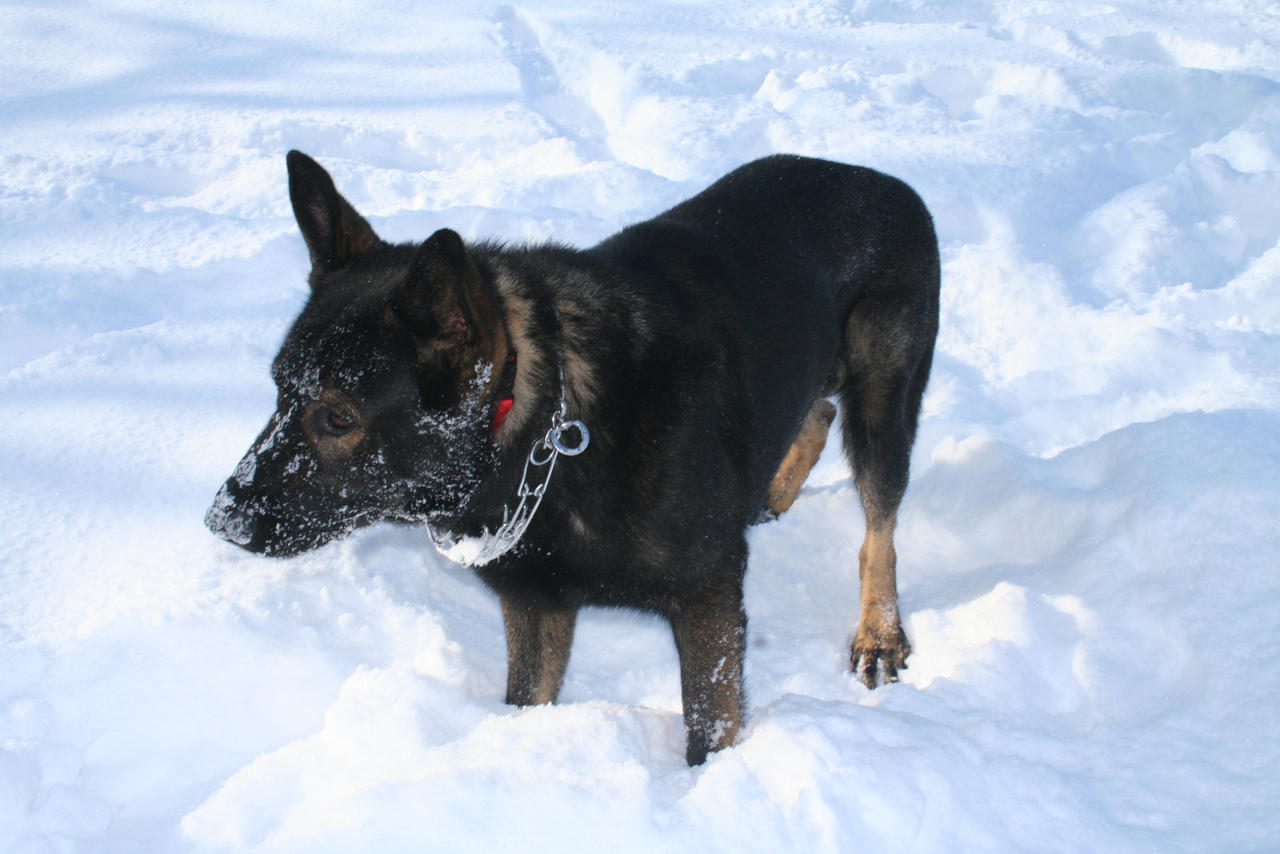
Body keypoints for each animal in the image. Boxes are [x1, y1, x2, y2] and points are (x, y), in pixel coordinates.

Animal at [204, 150, 936, 763]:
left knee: (879, 526)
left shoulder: (707, 600)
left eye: (338, 417)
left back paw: (879, 633)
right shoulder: (536, 606)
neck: (544, 435)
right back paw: (768, 495)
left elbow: (710, 725)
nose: (220, 523)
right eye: (278, 391)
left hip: (884, 406)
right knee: (816, 413)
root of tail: (882, 180)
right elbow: (526, 700)